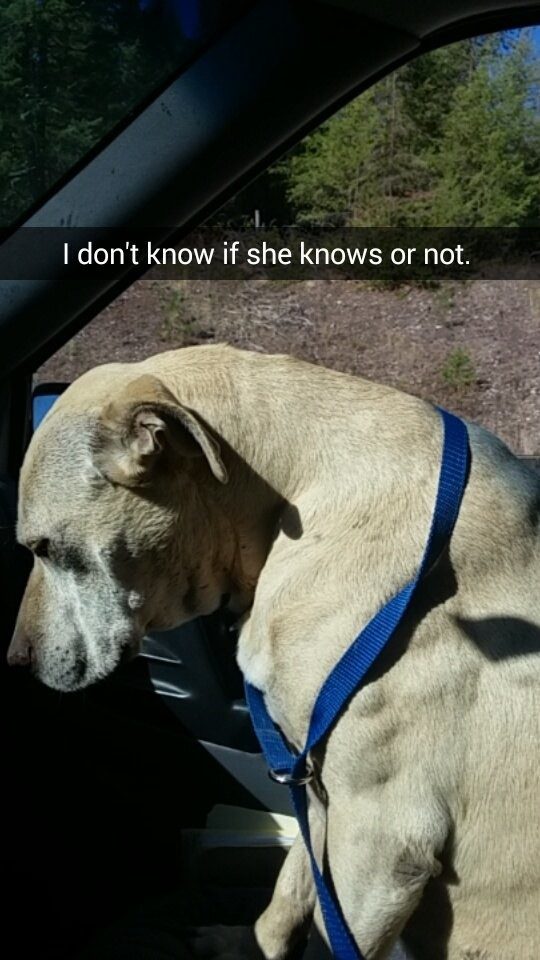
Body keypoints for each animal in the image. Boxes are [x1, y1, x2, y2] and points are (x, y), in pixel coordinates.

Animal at [8, 344, 540, 959]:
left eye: (43, 547)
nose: (14, 661)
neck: (298, 492)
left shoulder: (382, 835)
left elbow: (330, 940)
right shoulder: (315, 789)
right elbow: (289, 889)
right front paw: (243, 943)